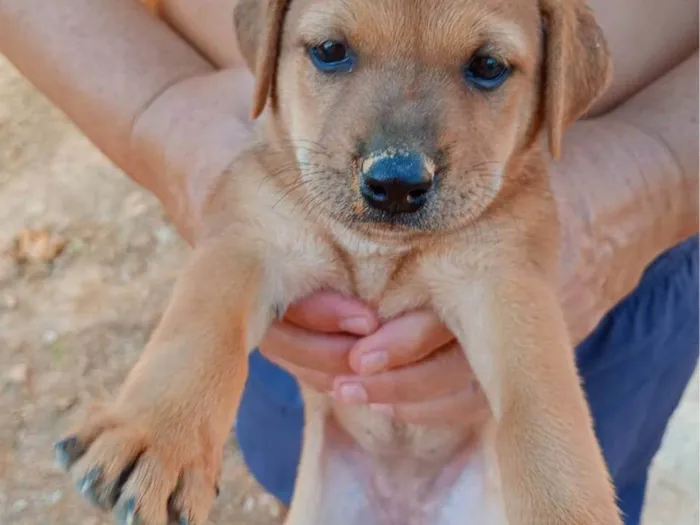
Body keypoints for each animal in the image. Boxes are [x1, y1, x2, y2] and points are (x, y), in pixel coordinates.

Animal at [56, 1, 616, 524]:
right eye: (330, 51)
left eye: (488, 65)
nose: (395, 181)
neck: (377, 249)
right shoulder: (250, 238)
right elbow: (200, 331)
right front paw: (158, 434)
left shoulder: (504, 282)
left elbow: (544, 410)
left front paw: (565, 509)